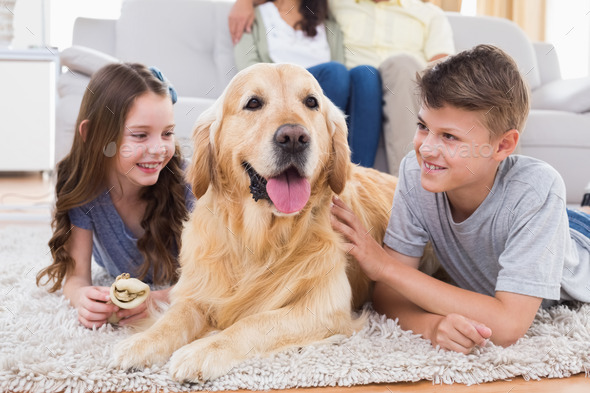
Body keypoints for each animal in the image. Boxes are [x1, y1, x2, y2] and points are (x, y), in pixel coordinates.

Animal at [112, 63, 398, 380]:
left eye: (311, 102)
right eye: (253, 103)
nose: (294, 137)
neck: (259, 238)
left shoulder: (326, 307)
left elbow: (256, 322)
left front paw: (203, 350)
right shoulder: (197, 289)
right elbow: (174, 317)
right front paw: (140, 343)